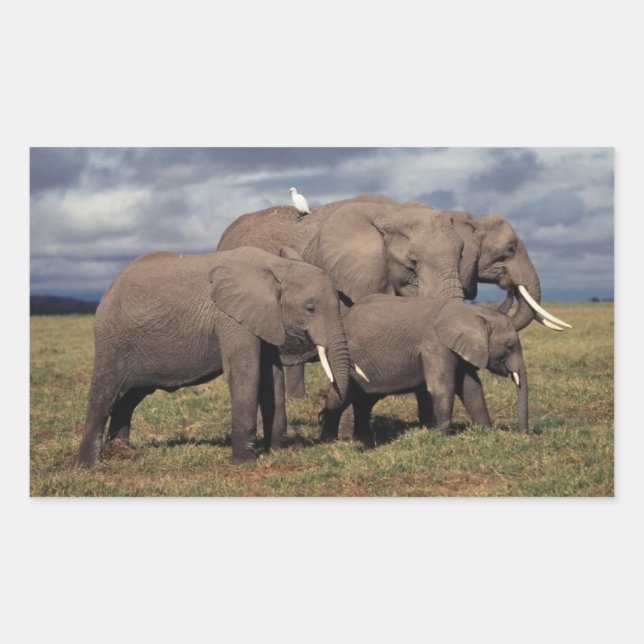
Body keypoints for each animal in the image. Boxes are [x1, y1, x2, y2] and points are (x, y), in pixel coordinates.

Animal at [76, 246, 351, 467]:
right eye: (310, 308)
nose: (321, 417)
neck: (278, 267)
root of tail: (108, 289)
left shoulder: (264, 320)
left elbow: (272, 379)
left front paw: (277, 453)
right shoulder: (230, 319)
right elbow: (246, 374)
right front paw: (244, 464)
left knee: (129, 398)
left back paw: (122, 452)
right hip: (113, 339)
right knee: (105, 393)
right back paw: (90, 465)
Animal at [319, 295, 529, 445]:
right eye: (510, 346)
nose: (523, 434)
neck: (470, 312)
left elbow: (471, 388)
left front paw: (485, 430)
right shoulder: (435, 345)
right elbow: (442, 387)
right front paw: (442, 436)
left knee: (365, 401)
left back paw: (365, 437)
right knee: (340, 398)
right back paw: (328, 440)